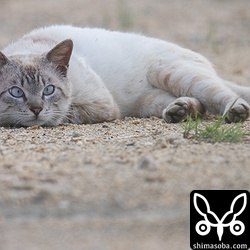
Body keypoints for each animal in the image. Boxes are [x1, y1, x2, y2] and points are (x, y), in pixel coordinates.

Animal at [0, 24, 250, 126]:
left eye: (49, 90)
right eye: (16, 92)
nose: (36, 109)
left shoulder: (101, 105)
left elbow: (63, 113)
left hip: (173, 73)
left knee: (221, 94)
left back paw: (236, 111)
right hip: (149, 103)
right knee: (200, 106)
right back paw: (180, 111)